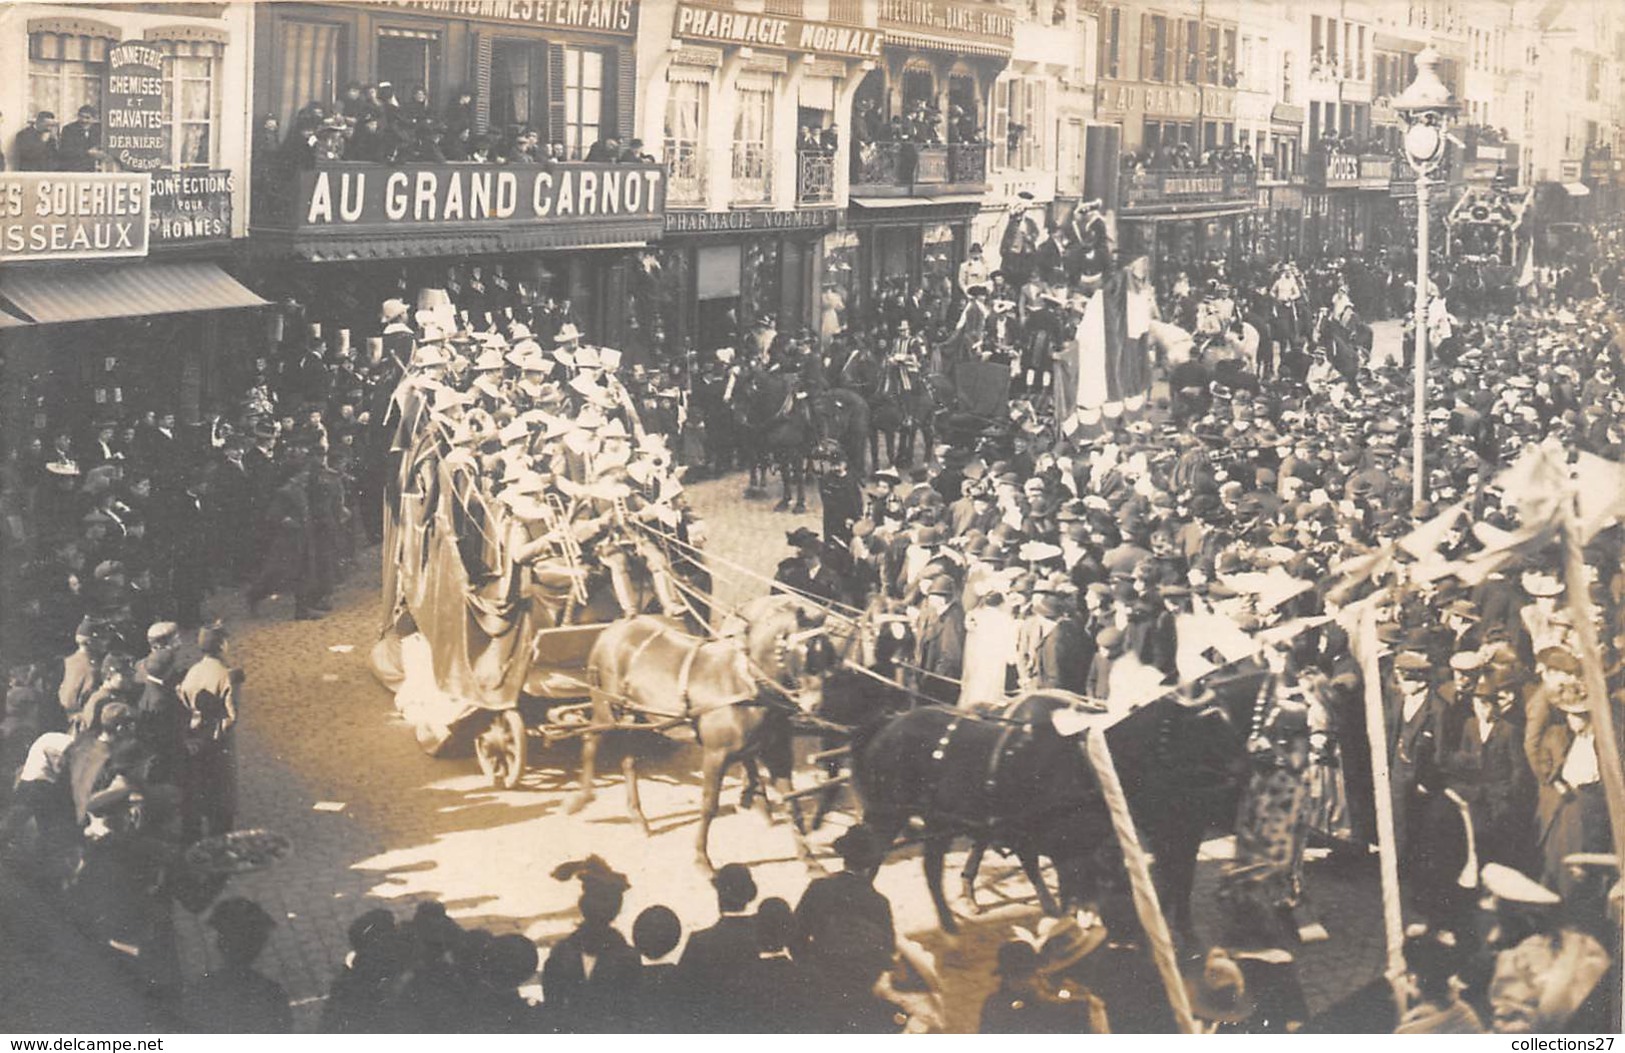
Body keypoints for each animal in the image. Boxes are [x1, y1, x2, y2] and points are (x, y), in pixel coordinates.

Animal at [568, 607, 838, 871]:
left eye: (828, 651)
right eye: (805, 650)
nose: (816, 705)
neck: (746, 686)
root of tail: (614, 627)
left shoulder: (776, 753)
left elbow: (793, 802)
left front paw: (810, 860)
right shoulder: (715, 754)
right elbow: (709, 806)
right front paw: (702, 859)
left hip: (637, 716)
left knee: (629, 761)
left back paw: (637, 817)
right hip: (606, 708)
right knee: (590, 741)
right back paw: (581, 799)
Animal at [734, 370, 819, 513]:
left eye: (748, 394)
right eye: (734, 391)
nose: (738, 419)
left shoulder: (795, 450)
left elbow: (797, 475)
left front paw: (800, 504)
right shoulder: (778, 449)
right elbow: (784, 474)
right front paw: (785, 501)